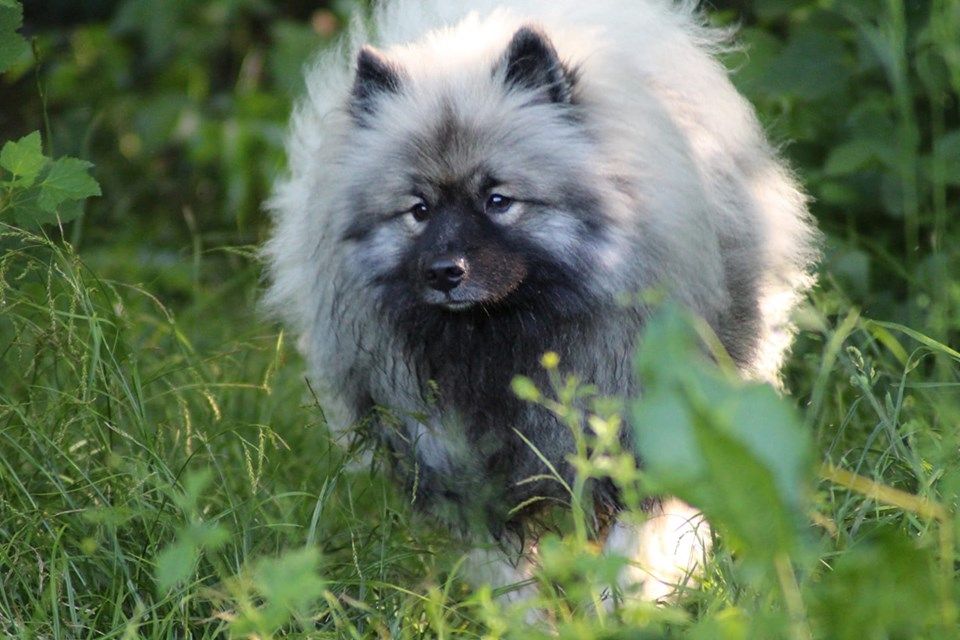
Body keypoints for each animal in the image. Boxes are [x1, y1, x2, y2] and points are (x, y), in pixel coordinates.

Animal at [263, 0, 819, 604]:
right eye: (419, 210)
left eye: (497, 200)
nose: (445, 273)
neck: (502, 339)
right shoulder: (458, 470)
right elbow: (506, 575)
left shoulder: (640, 435)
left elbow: (639, 541)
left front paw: (635, 603)